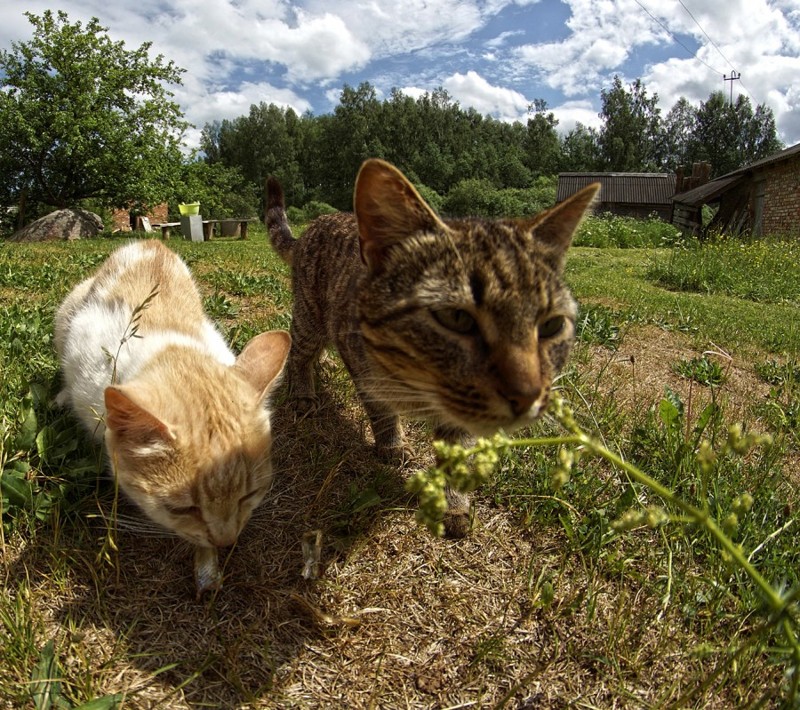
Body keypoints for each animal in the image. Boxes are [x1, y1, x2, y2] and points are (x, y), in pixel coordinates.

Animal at [54, 242, 290, 596]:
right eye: (183, 509)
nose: (226, 541)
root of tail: (152, 244)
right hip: (66, 311)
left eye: (249, 495)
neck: (171, 351)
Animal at [266, 161, 596, 536]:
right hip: (310, 319)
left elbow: (455, 457)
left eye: (551, 325)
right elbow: (382, 414)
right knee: (298, 352)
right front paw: (392, 445)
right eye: (456, 317)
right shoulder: (367, 377)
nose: (528, 396)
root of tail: (316, 222)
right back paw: (304, 392)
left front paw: (454, 504)